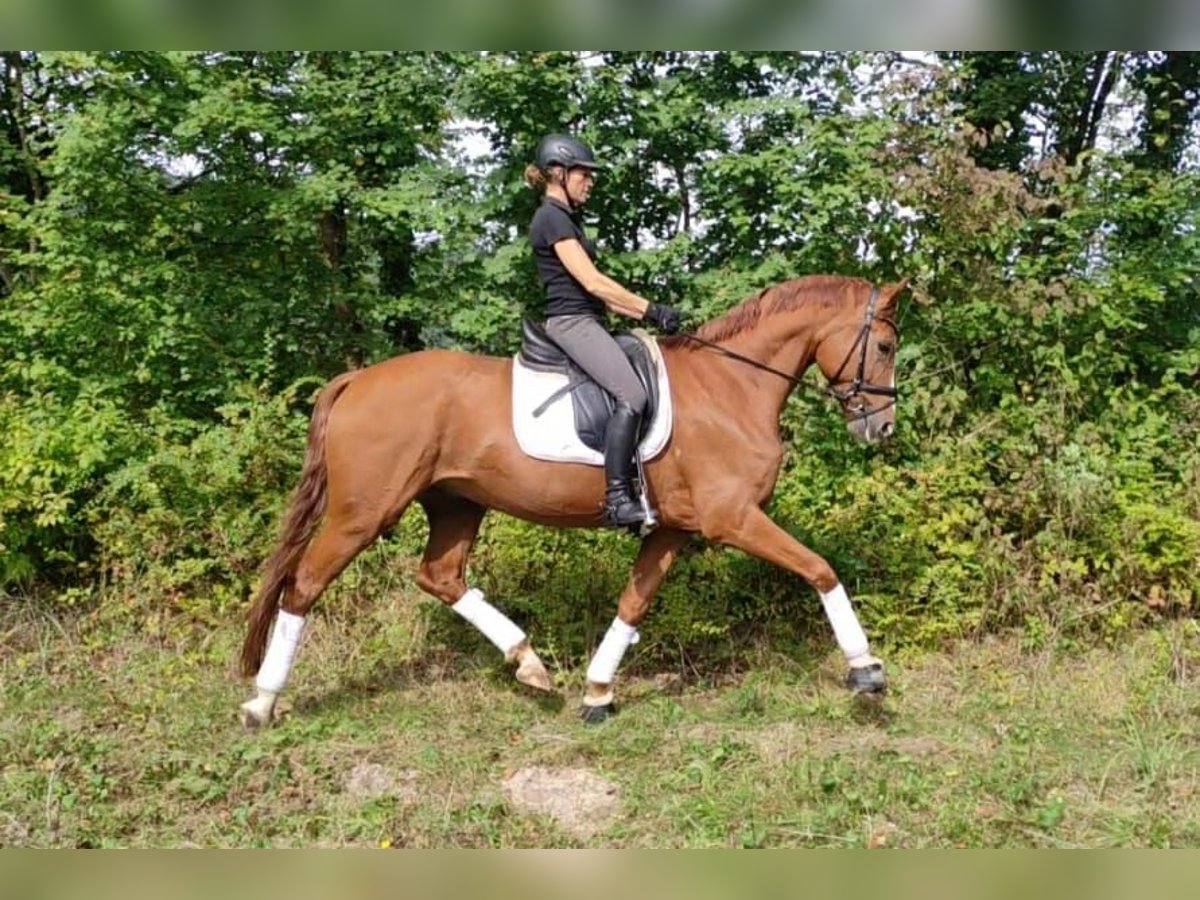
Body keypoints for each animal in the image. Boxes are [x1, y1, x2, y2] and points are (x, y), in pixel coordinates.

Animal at [238, 273, 902, 724]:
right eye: (886, 348)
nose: (883, 428)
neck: (733, 384)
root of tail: (358, 379)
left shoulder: (672, 528)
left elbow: (633, 603)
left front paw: (597, 691)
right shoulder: (732, 518)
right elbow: (821, 570)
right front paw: (865, 668)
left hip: (456, 503)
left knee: (440, 576)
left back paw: (529, 664)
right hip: (362, 513)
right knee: (304, 584)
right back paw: (262, 702)